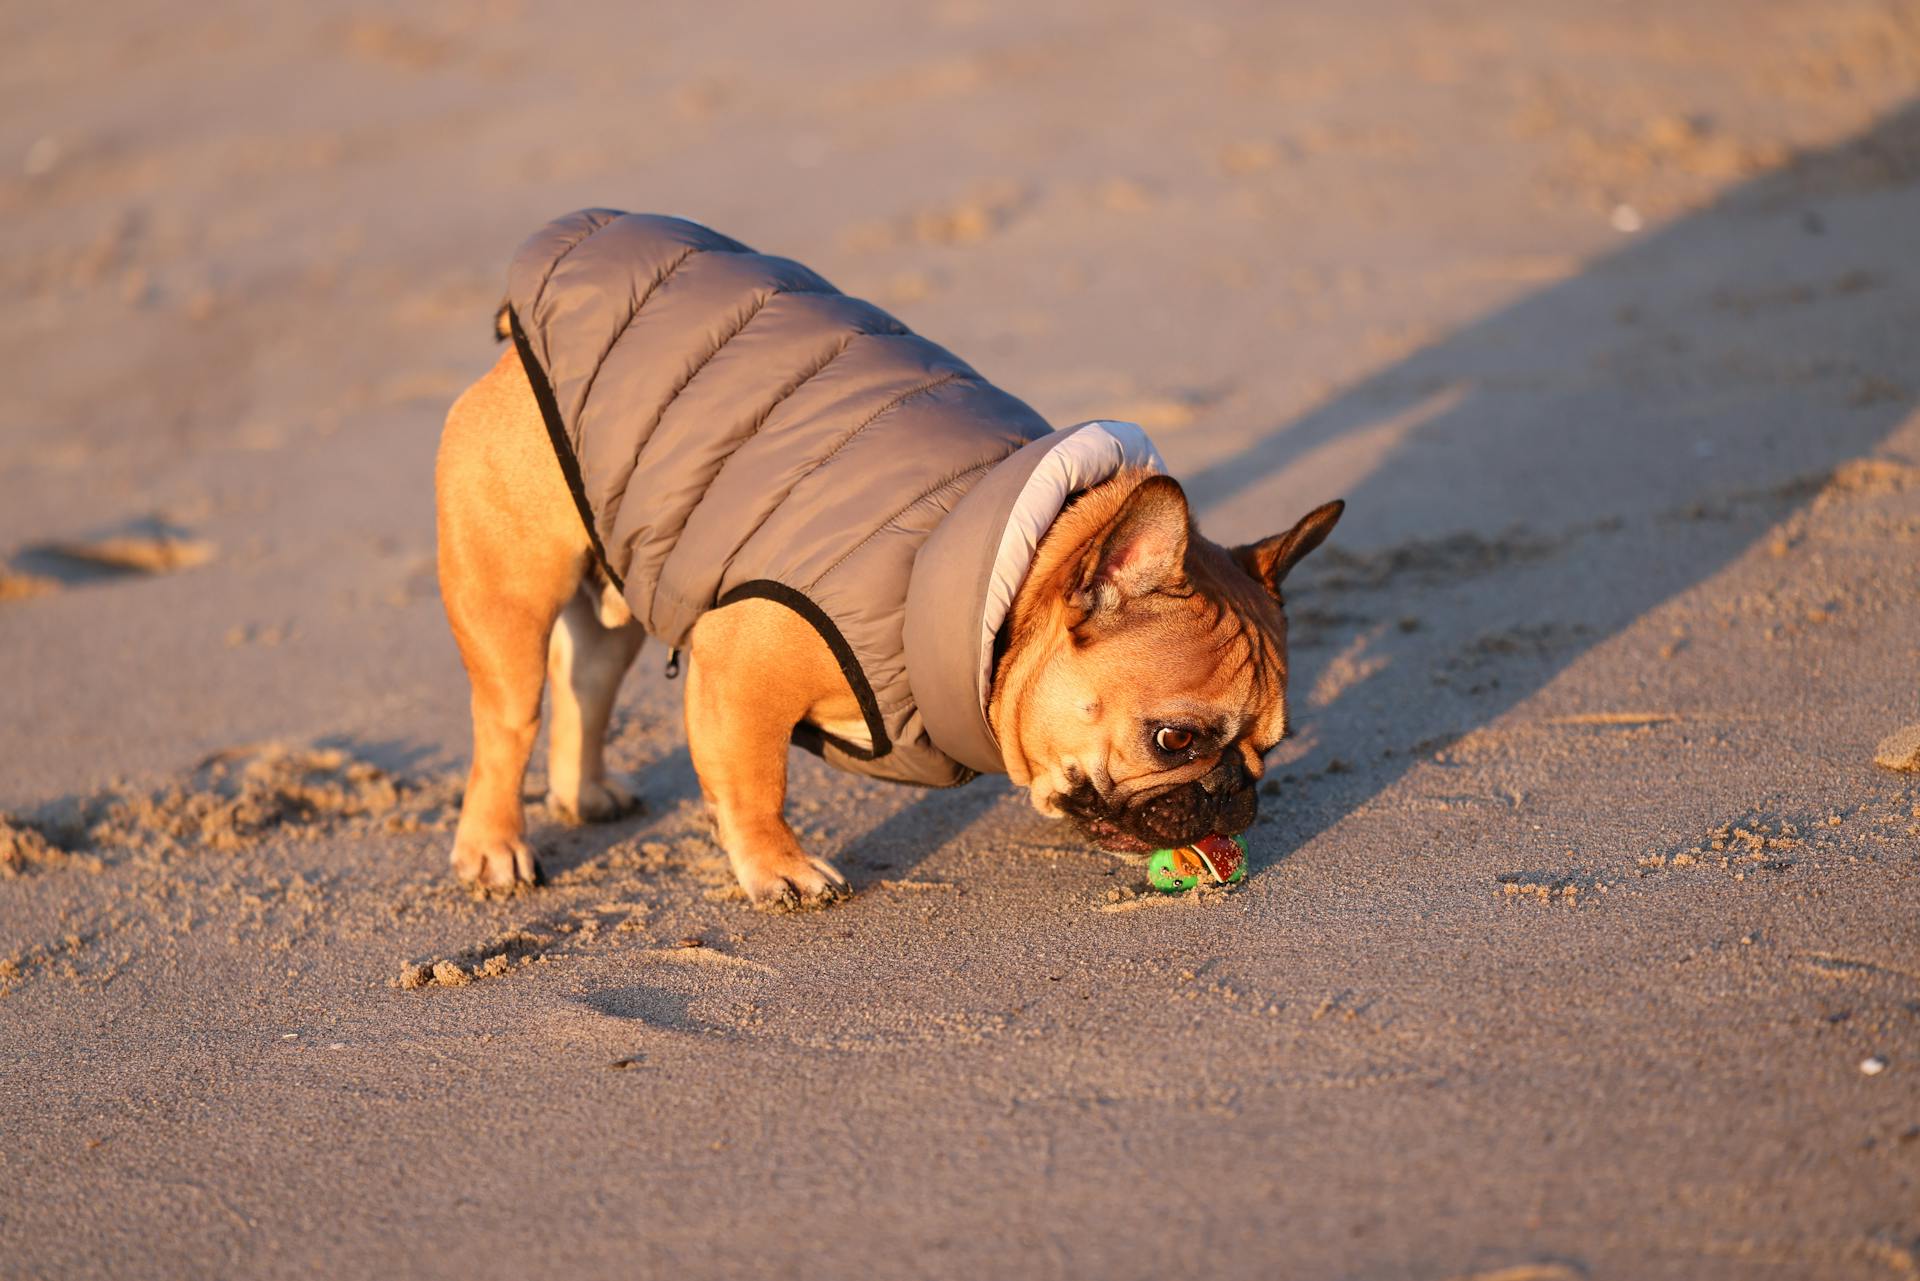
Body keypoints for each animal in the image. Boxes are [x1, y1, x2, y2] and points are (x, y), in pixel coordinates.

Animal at [435, 210, 1344, 906]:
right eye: (1173, 740)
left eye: (1272, 746)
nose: (1237, 793)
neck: (1002, 584)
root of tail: (513, 346)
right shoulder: (742, 669)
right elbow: (754, 780)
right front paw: (780, 869)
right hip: (510, 590)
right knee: (508, 719)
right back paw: (495, 848)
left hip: (619, 572)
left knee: (586, 675)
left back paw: (585, 794)